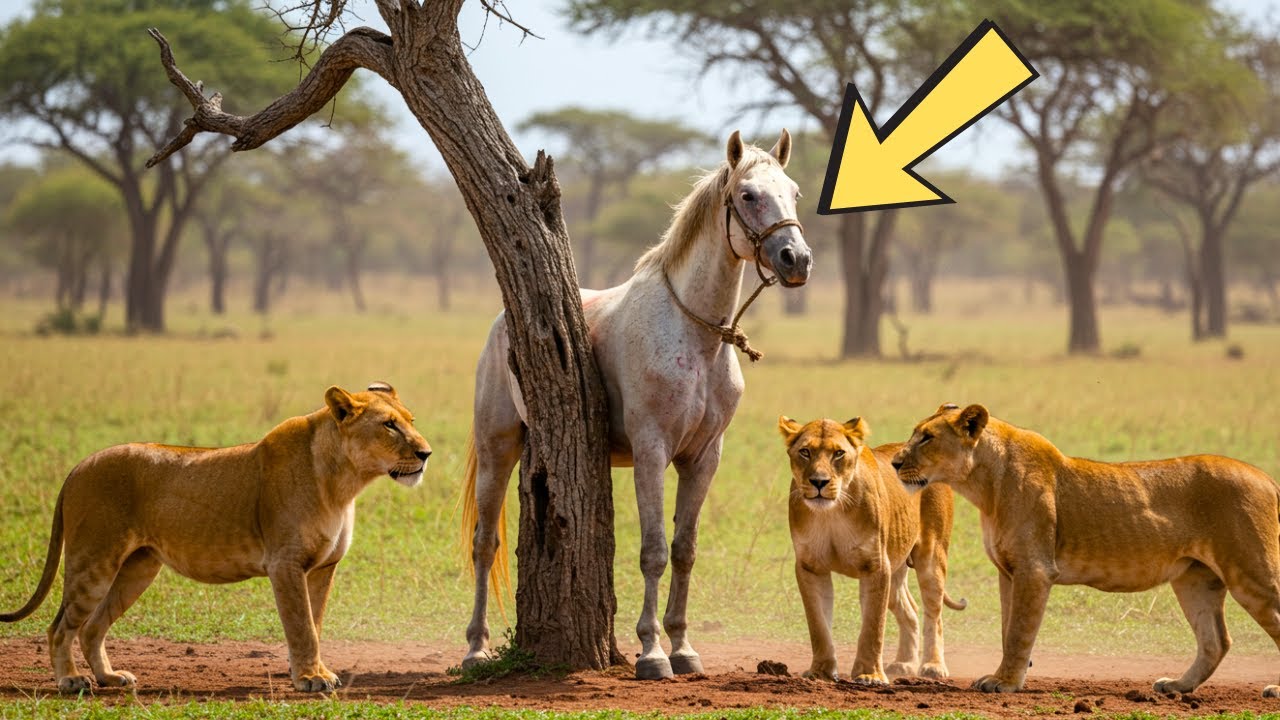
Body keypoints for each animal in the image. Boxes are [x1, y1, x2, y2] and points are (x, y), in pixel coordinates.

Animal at [0, 382, 431, 694]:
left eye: (411, 419)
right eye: (389, 424)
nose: (426, 453)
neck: (344, 482)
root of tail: (78, 466)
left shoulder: (323, 567)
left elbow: (316, 623)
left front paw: (313, 671)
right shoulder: (286, 564)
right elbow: (302, 627)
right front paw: (311, 678)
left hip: (137, 568)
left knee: (91, 626)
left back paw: (110, 678)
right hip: (94, 561)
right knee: (61, 627)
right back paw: (70, 681)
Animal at [460, 130, 812, 679]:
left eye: (793, 193)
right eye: (749, 194)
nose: (796, 259)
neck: (695, 336)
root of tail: (504, 322)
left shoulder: (703, 458)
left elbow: (684, 550)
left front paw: (683, 647)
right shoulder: (652, 452)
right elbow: (653, 553)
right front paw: (651, 652)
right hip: (498, 446)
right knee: (484, 543)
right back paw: (475, 648)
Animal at [778, 415, 966, 685]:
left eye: (838, 453)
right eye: (805, 452)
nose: (819, 482)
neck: (831, 514)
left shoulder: (876, 566)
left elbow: (873, 625)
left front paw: (870, 674)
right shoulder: (810, 567)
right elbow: (818, 624)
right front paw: (821, 671)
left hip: (931, 557)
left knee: (934, 614)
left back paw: (932, 666)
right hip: (896, 565)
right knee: (910, 610)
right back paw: (904, 663)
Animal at [893, 403, 1280, 698]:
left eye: (927, 438)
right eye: (914, 433)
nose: (895, 462)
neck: (984, 484)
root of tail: (1266, 477)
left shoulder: (1034, 568)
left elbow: (1018, 631)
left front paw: (1004, 682)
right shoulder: (1008, 572)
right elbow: (1007, 629)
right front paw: (1011, 676)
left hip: (1252, 572)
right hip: (1194, 580)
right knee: (1216, 641)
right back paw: (1177, 686)